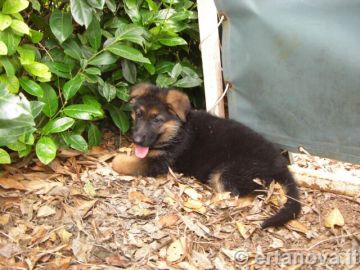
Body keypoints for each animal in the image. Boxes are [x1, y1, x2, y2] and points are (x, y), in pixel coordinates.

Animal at [112, 83, 300, 228]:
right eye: (139, 115)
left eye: (156, 120)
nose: (136, 140)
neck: (178, 129)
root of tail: (280, 163)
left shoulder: (160, 162)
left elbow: (124, 162)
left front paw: (116, 159)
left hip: (229, 173)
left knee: (255, 193)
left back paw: (219, 201)